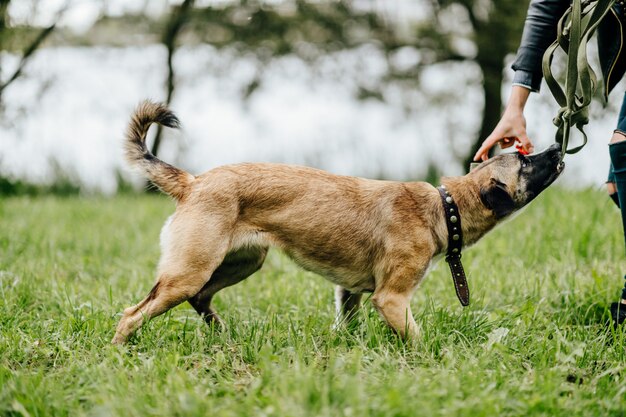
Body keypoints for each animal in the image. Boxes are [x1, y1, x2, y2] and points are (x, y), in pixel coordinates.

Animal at [111, 101, 560, 344]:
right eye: (523, 161)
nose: (558, 148)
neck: (443, 205)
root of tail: (193, 181)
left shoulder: (349, 294)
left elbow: (347, 326)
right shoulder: (392, 300)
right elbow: (417, 339)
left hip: (242, 262)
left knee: (201, 299)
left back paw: (223, 334)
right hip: (189, 271)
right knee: (134, 313)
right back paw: (120, 351)